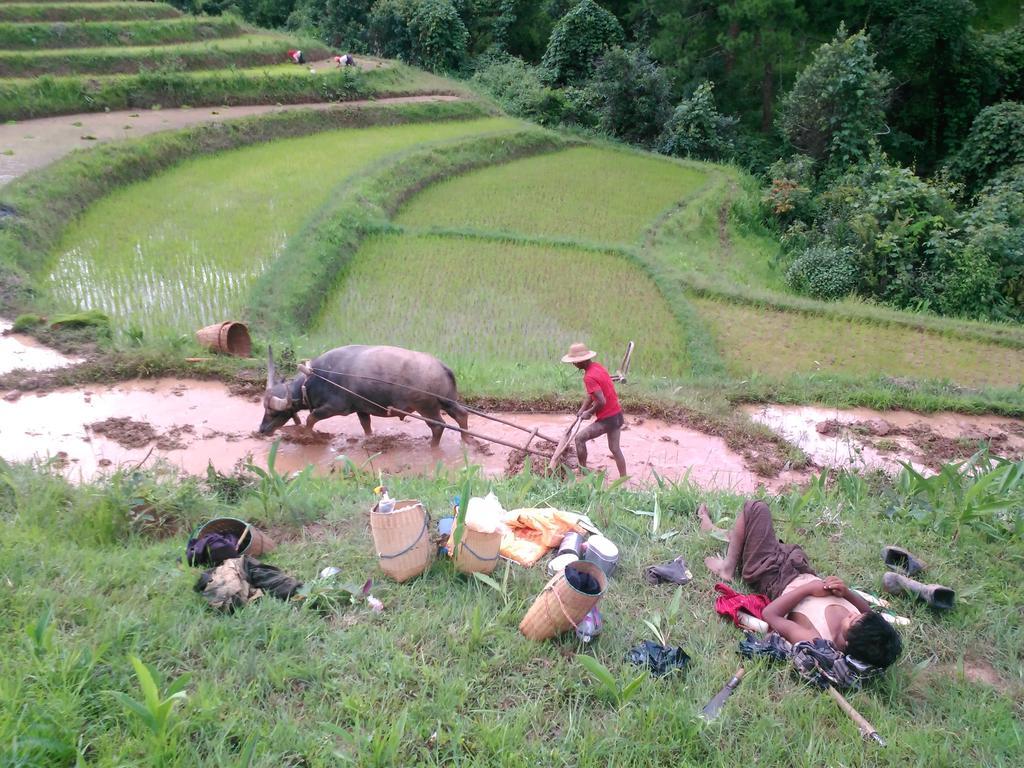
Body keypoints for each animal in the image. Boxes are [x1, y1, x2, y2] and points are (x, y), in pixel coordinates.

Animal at [258, 342, 468, 444]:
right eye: (265, 409)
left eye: (274, 412)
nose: (262, 430)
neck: (313, 379)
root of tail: (442, 367)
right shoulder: (361, 409)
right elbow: (366, 426)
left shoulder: (334, 408)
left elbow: (311, 418)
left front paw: (306, 437)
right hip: (448, 401)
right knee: (461, 414)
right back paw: (466, 440)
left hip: (427, 407)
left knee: (438, 426)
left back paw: (433, 446)